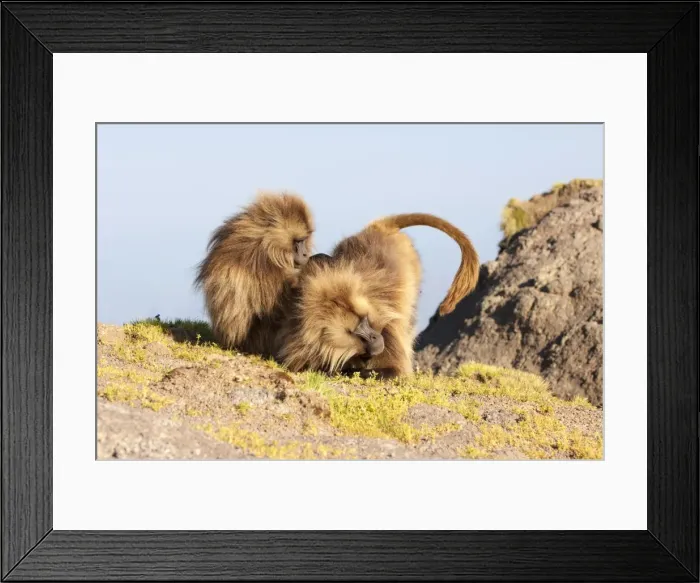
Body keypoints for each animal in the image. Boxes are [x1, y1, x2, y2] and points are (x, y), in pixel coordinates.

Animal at [276, 213, 479, 378]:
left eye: (365, 320)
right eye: (356, 331)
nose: (375, 338)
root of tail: (377, 229)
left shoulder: (386, 331)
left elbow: (396, 371)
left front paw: (345, 370)